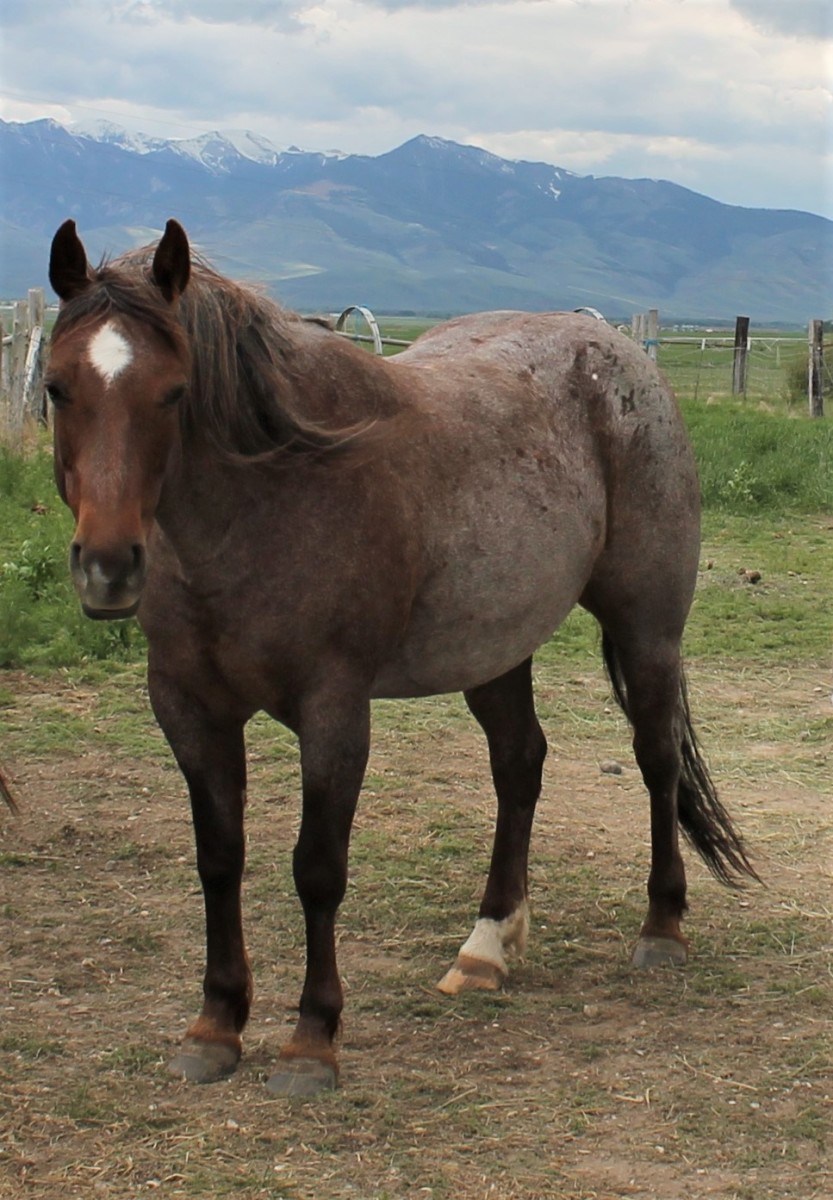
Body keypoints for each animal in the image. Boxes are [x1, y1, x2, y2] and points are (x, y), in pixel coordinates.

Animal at [48, 218, 758, 1099]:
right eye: (56, 387)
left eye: (175, 393)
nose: (109, 567)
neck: (267, 499)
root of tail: (622, 356)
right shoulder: (188, 708)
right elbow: (219, 860)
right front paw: (214, 1025)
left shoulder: (333, 711)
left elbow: (317, 868)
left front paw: (311, 1040)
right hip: (494, 648)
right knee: (519, 764)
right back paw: (487, 945)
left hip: (646, 628)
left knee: (656, 759)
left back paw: (661, 927)